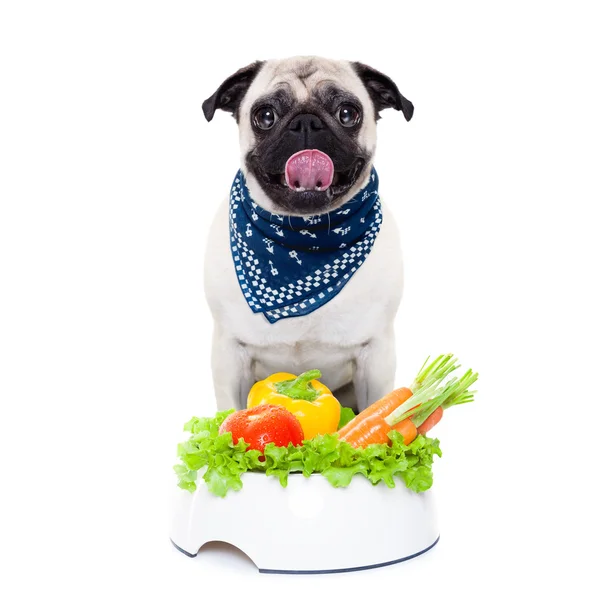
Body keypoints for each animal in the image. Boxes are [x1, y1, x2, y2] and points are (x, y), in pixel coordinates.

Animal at [202, 55, 412, 412]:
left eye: (347, 113)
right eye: (265, 116)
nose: (306, 123)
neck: (303, 235)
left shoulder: (376, 356)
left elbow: (377, 407)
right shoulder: (229, 353)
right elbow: (230, 412)